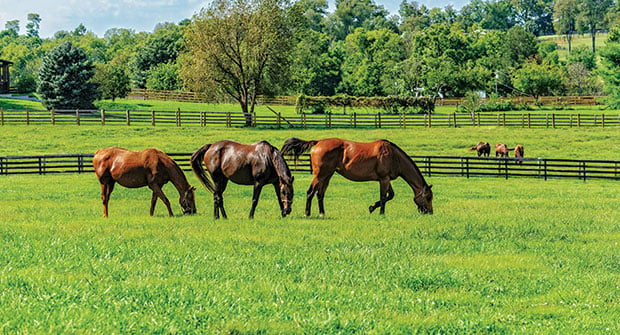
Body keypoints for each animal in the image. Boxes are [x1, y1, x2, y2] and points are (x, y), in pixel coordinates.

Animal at [280, 137, 432, 218]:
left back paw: (322, 213)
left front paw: (373, 207)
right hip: (320, 175)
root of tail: (318, 142)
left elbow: (390, 195)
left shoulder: (386, 179)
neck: (393, 155)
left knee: (320, 194)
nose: (430, 212)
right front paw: (379, 212)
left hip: (327, 175)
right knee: (310, 192)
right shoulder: (384, 179)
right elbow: (384, 197)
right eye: (429, 197)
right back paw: (307, 213)